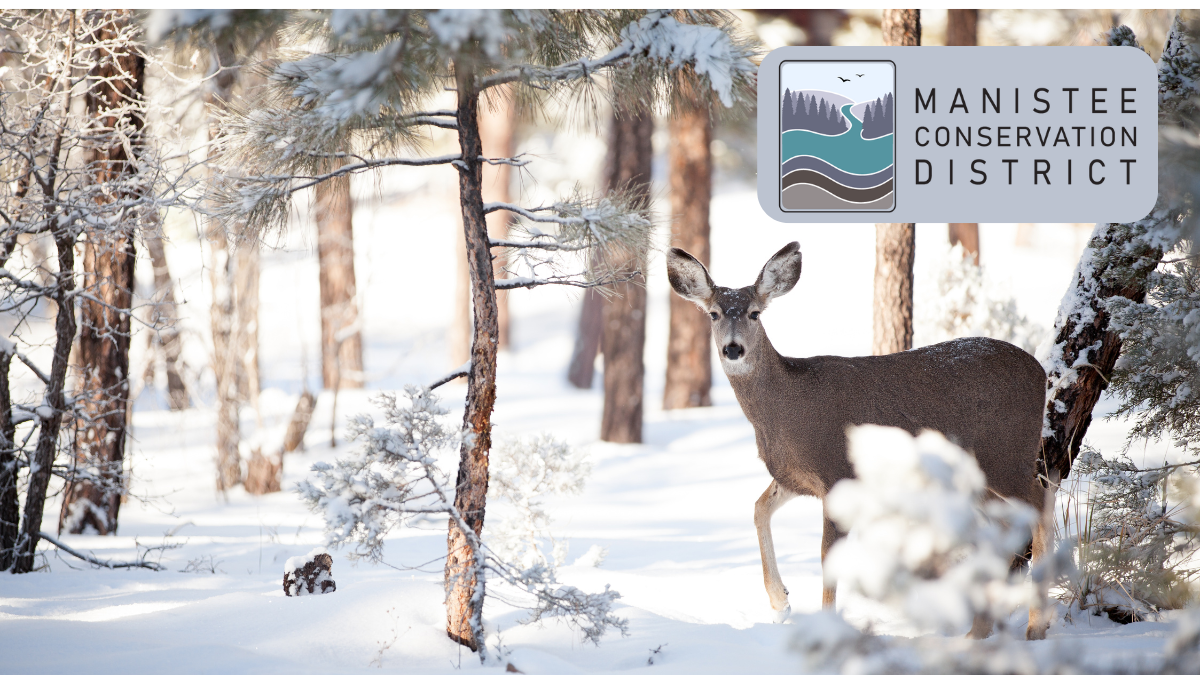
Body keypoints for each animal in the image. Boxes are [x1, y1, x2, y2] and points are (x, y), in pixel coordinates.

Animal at [666, 241, 1051, 640]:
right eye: (713, 314)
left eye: (755, 313)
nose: (733, 349)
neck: (786, 411)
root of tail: (1041, 372)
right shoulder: (796, 477)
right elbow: (759, 508)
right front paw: (780, 601)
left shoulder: (837, 470)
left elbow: (827, 555)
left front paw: (826, 629)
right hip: (981, 475)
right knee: (1006, 525)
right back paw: (976, 632)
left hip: (1005, 453)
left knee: (1040, 504)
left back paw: (1035, 626)